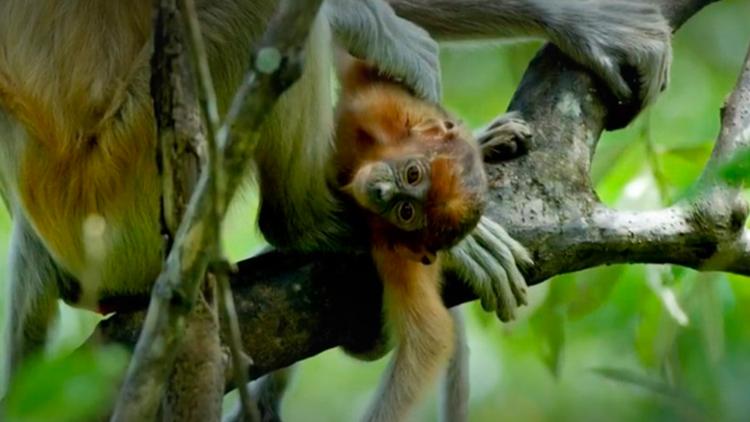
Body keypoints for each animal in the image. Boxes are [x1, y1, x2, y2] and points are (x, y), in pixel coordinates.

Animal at [334, 53, 516, 422]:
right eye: (412, 174)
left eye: (406, 212)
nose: (381, 191)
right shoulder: (385, 109)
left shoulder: (396, 256)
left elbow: (430, 340)